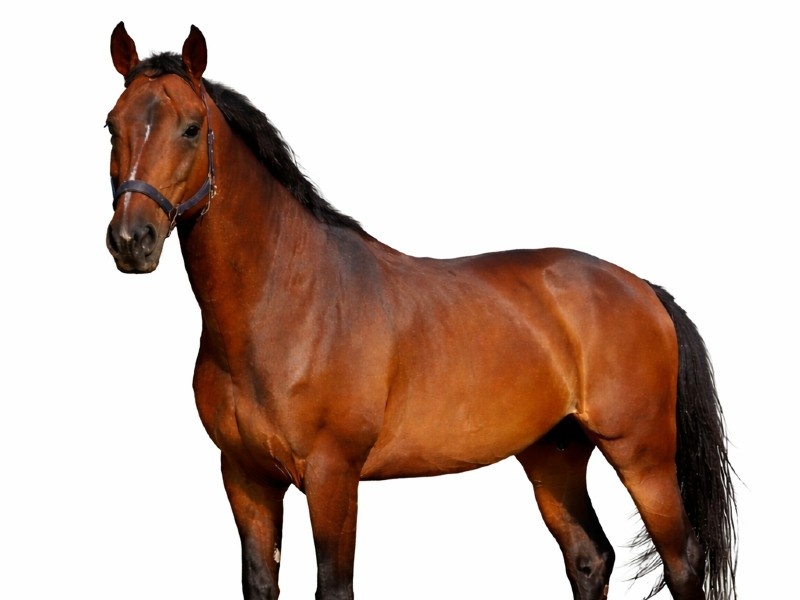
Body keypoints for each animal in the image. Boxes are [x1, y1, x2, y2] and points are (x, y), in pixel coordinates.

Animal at [105, 23, 737, 600]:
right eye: (111, 125)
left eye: (191, 128)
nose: (132, 241)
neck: (287, 304)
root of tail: (642, 288)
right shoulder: (246, 478)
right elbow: (261, 582)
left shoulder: (333, 478)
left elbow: (333, 587)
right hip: (553, 456)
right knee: (589, 559)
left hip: (642, 456)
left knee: (682, 562)